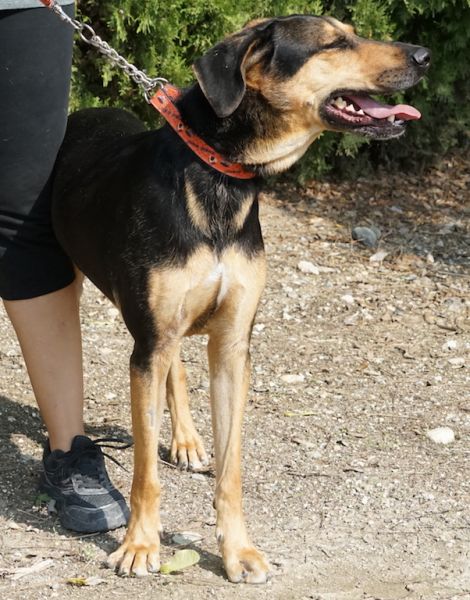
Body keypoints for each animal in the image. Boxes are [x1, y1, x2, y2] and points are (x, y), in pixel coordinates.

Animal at [51, 15, 430, 583]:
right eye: (334, 42)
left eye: (352, 32)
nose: (425, 56)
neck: (219, 180)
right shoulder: (151, 342)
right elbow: (144, 471)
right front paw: (140, 545)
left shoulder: (232, 345)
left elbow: (231, 470)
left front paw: (238, 549)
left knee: (177, 370)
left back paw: (187, 439)